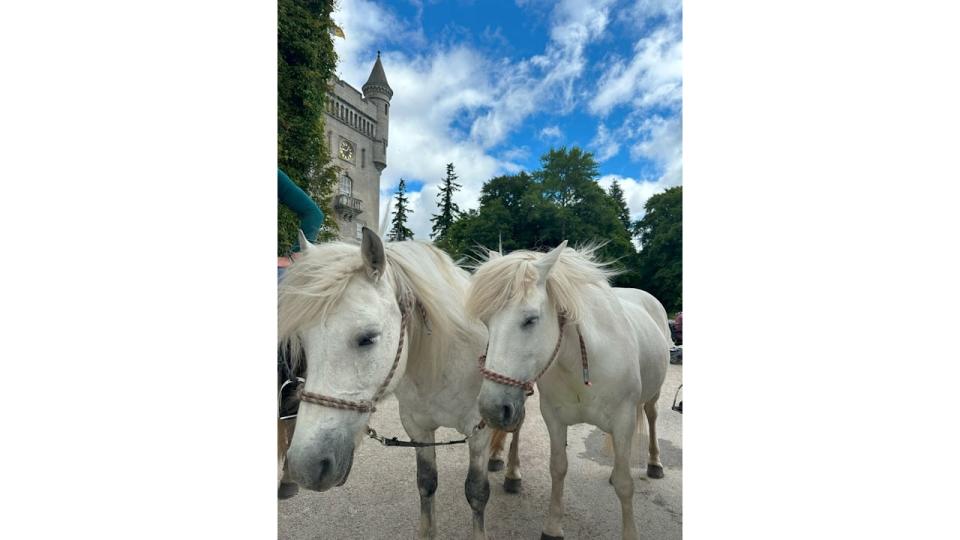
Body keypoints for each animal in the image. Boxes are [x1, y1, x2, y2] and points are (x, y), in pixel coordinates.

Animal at [278, 229, 524, 540]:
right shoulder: (417, 427)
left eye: (368, 337)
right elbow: (426, 483)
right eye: (303, 342)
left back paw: (512, 473)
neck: (443, 362)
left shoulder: (478, 428)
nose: (306, 467)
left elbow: (476, 493)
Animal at [468, 242, 672, 540]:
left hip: (651, 396)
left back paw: (655, 464)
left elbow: (626, 484)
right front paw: (552, 527)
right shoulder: (554, 417)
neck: (581, 361)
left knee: (652, 416)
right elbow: (558, 468)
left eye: (531, 319)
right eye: (486, 321)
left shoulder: (623, 419)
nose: (491, 409)